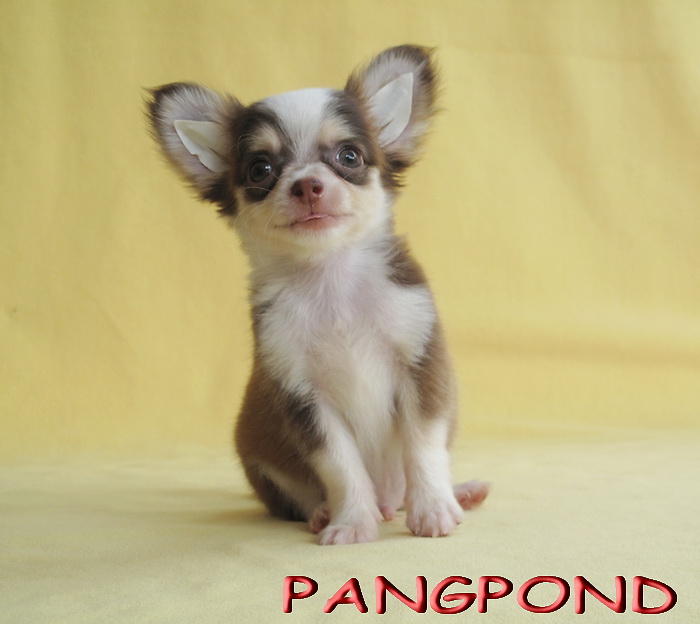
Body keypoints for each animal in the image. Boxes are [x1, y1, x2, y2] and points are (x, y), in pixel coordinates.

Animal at [147, 45, 488, 545]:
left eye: (349, 156)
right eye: (261, 169)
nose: (307, 184)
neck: (330, 279)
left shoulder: (421, 364)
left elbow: (423, 445)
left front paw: (434, 509)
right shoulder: (302, 396)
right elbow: (340, 465)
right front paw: (351, 523)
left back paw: (457, 493)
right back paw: (328, 513)